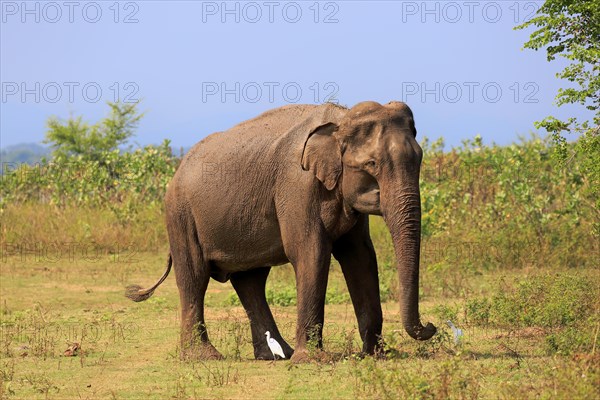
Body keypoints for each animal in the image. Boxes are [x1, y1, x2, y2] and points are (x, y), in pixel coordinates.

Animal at [126, 101, 436, 362]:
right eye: (371, 165)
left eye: (420, 159)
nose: (430, 326)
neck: (340, 121)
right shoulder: (297, 186)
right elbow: (311, 253)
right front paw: (313, 360)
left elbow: (360, 257)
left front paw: (376, 356)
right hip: (180, 214)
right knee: (194, 277)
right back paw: (204, 357)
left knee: (250, 281)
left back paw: (275, 355)